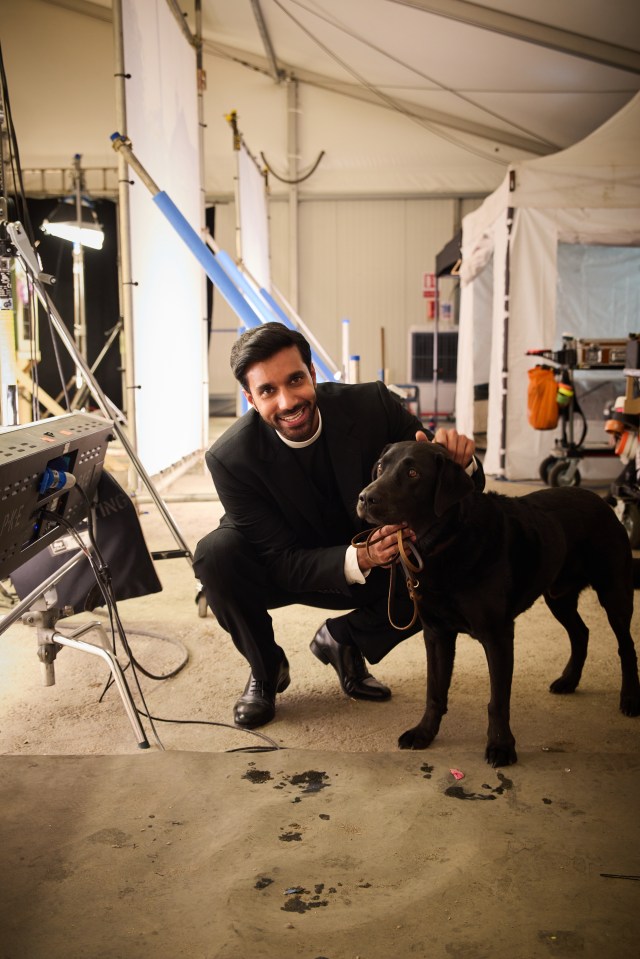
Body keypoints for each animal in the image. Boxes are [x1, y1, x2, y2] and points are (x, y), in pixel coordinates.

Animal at [358, 440, 636, 764]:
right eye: (381, 467)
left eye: (413, 473)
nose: (365, 497)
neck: (447, 542)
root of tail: (602, 502)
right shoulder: (436, 633)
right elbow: (434, 690)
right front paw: (424, 733)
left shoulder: (498, 635)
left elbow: (498, 700)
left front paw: (501, 746)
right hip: (559, 596)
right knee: (581, 632)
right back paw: (569, 680)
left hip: (614, 592)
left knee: (625, 645)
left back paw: (629, 698)